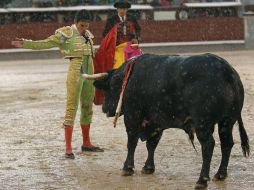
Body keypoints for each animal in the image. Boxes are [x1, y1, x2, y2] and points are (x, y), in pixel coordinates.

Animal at [90, 53, 249, 189]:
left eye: (109, 87)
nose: (104, 108)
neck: (127, 78)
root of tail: (227, 71)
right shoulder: (156, 122)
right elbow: (151, 144)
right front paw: (148, 167)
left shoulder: (132, 116)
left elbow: (132, 143)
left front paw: (127, 168)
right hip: (227, 121)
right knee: (227, 143)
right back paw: (220, 174)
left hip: (203, 123)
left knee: (208, 145)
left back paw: (201, 180)